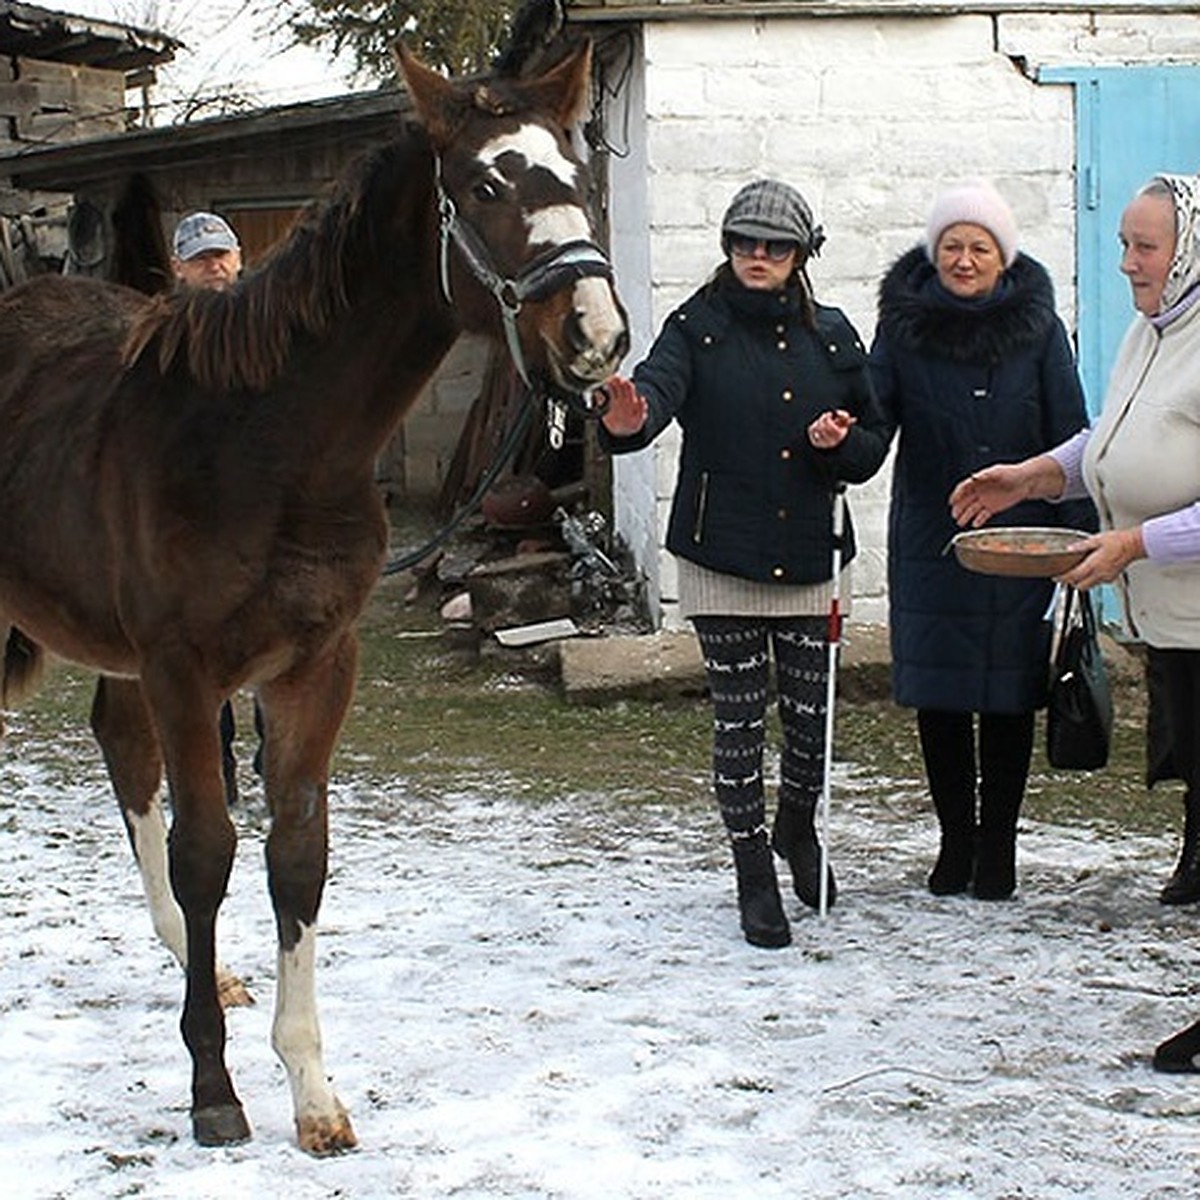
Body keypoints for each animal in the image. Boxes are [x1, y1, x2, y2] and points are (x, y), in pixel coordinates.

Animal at [0, 44, 633, 1152]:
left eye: (577, 176)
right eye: (484, 187)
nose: (595, 334)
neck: (269, 444)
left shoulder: (315, 665)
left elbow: (296, 856)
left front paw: (310, 1091)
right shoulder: (184, 670)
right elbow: (208, 852)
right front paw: (214, 1091)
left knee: (121, 752)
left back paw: (197, 963)